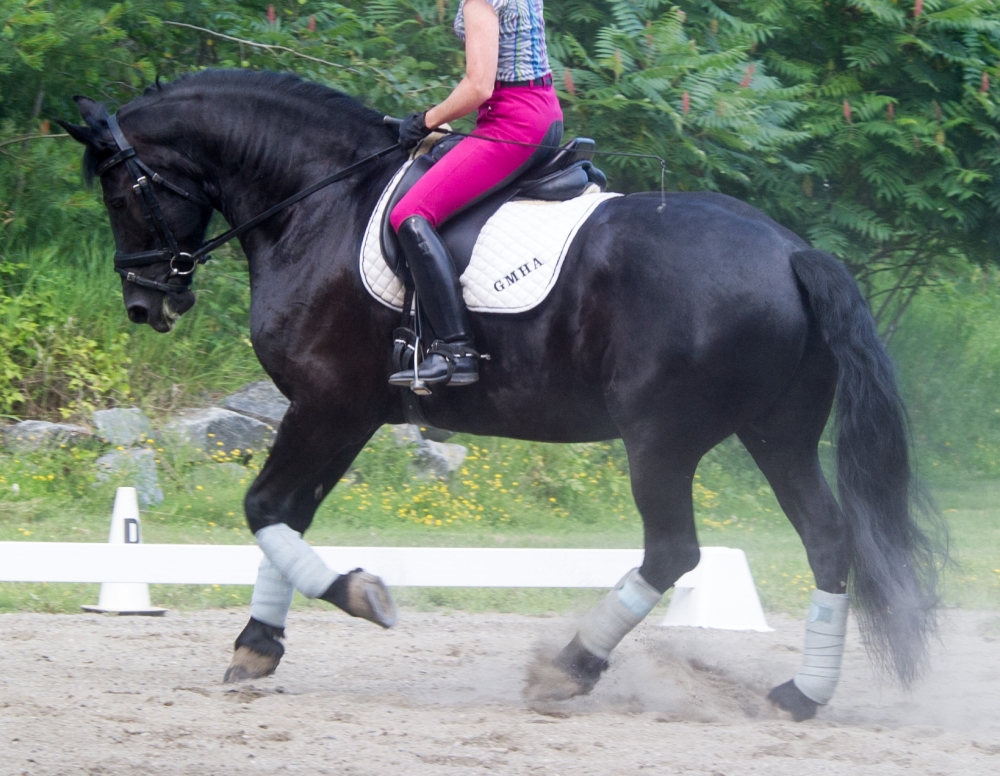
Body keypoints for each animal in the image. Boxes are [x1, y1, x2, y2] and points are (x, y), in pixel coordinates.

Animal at [59, 69, 942, 721]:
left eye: (119, 193)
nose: (145, 304)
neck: (319, 202)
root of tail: (794, 252)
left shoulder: (326, 403)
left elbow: (264, 507)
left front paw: (358, 596)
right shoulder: (347, 413)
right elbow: (286, 514)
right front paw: (258, 643)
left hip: (661, 438)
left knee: (673, 551)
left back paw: (569, 669)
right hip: (777, 433)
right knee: (829, 540)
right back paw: (800, 694)